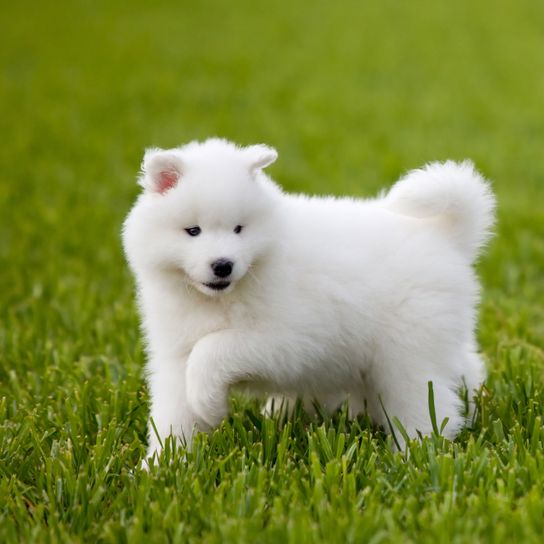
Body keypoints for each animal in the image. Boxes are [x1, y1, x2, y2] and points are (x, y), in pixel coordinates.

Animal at [121, 138, 496, 456]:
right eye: (193, 231)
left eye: (239, 229)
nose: (223, 265)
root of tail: (444, 235)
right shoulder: (174, 353)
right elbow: (173, 412)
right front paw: (161, 466)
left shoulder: (287, 339)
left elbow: (213, 350)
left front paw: (208, 404)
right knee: (463, 367)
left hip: (408, 351)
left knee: (426, 403)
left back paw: (414, 454)